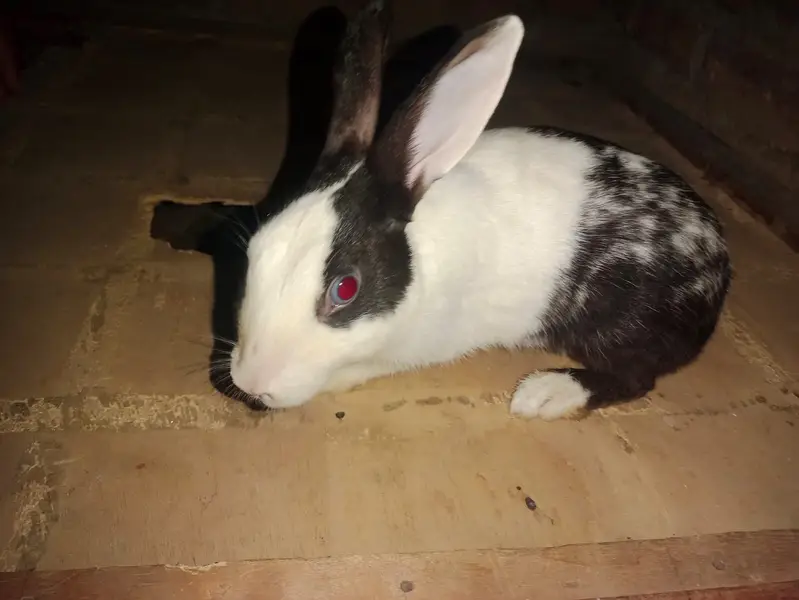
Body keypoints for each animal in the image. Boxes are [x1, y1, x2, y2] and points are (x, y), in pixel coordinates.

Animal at [229, 0, 732, 420]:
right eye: (254, 250)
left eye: (345, 289)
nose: (251, 382)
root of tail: (719, 261)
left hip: (624, 325)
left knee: (638, 376)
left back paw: (545, 394)